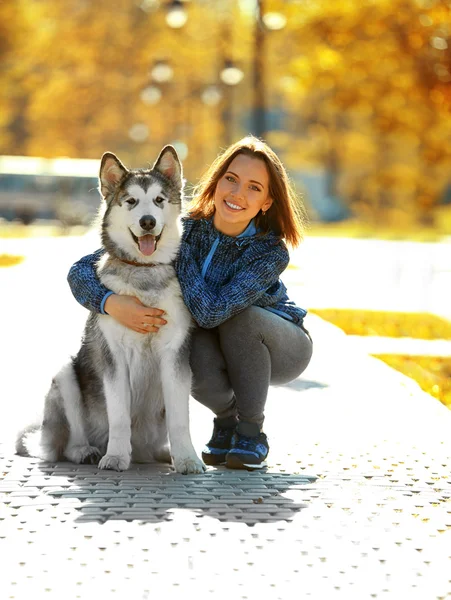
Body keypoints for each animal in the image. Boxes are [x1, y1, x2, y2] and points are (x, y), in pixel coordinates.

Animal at [16, 145, 207, 474]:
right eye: (131, 201)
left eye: (159, 200)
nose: (147, 221)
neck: (143, 273)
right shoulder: (115, 357)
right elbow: (118, 415)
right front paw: (116, 456)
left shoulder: (175, 356)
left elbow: (180, 420)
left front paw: (187, 459)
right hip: (65, 377)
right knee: (65, 444)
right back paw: (86, 451)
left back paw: (162, 453)